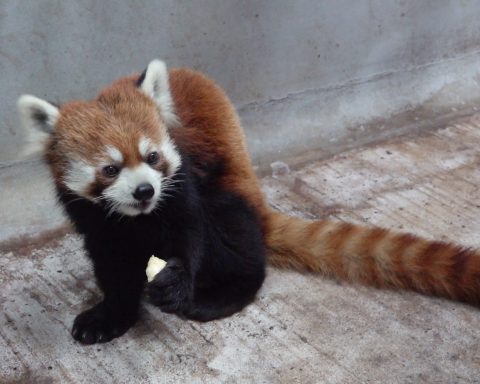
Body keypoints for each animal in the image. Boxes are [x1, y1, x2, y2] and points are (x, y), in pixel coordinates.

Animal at [16, 59, 480, 344]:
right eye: (110, 169)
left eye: (152, 157)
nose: (145, 190)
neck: (137, 218)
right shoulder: (95, 221)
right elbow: (113, 265)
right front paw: (112, 314)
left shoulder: (182, 181)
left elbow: (191, 229)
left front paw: (178, 279)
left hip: (232, 192)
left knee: (231, 231)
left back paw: (221, 295)